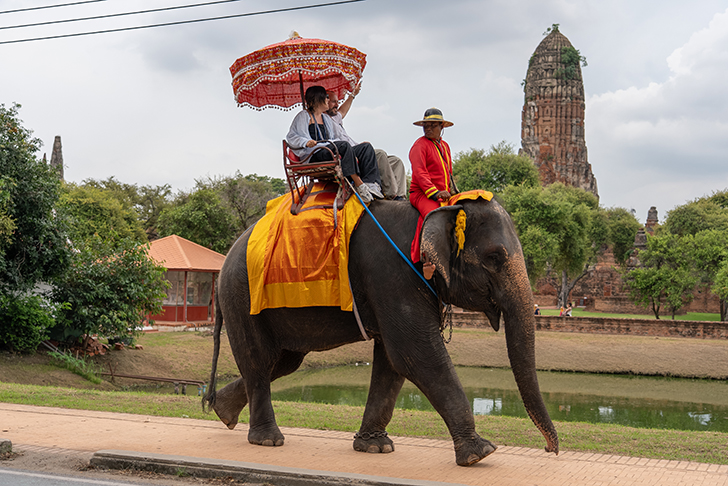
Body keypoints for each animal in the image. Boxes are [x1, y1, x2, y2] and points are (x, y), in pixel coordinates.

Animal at [203, 197, 556, 468]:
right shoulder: (391, 272)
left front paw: (375, 448)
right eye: (494, 257)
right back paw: (267, 440)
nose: (551, 448)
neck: (436, 209)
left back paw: (224, 412)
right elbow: (415, 354)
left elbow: (392, 360)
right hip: (242, 295)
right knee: (259, 359)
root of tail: (224, 261)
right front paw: (480, 453)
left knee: (284, 362)